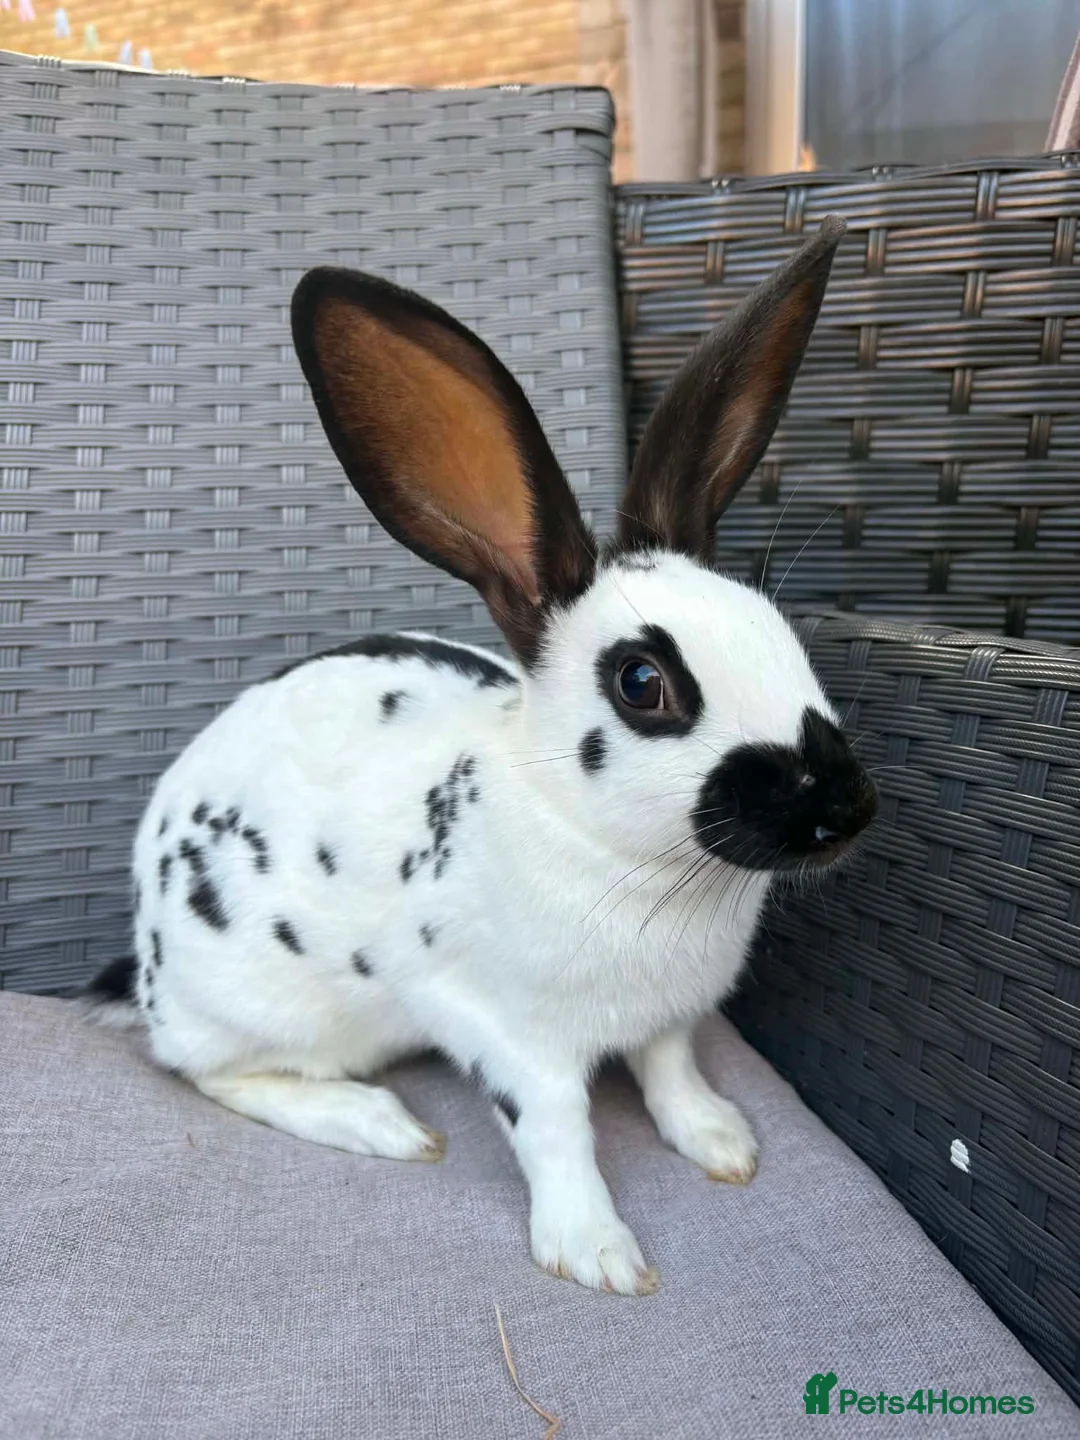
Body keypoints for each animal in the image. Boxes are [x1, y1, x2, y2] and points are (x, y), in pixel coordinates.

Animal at [85, 212, 877, 1296]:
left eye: (782, 635)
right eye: (642, 684)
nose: (843, 809)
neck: (624, 858)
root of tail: (149, 956)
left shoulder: (671, 1019)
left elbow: (671, 1072)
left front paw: (722, 1143)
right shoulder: (507, 1036)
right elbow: (558, 1132)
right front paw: (597, 1255)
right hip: (263, 1008)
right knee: (207, 1071)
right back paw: (377, 1124)